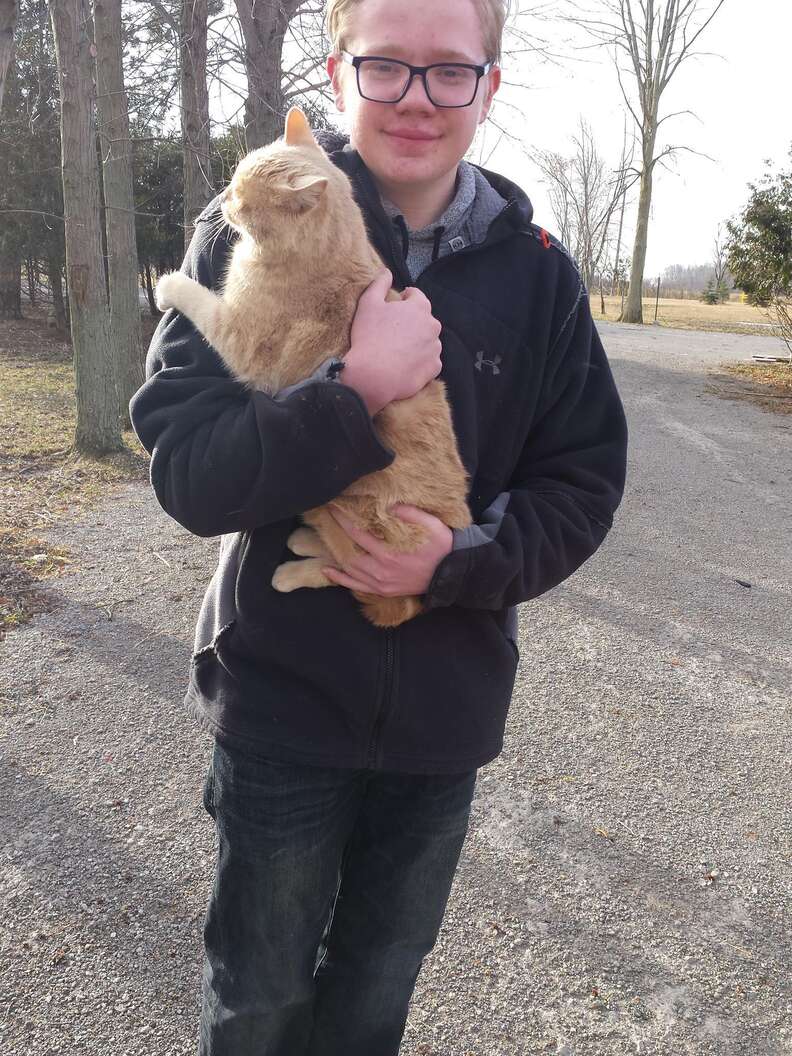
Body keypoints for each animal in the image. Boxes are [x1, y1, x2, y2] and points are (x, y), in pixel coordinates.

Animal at [155, 107, 470, 625]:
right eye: (233, 181)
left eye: (242, 195)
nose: (223, 200)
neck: (330, 249)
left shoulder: (239, 336)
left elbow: (197, 298)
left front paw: (167, 286)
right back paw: (304, 539)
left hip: (359, 523)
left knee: (350, 571)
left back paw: (295, 567)